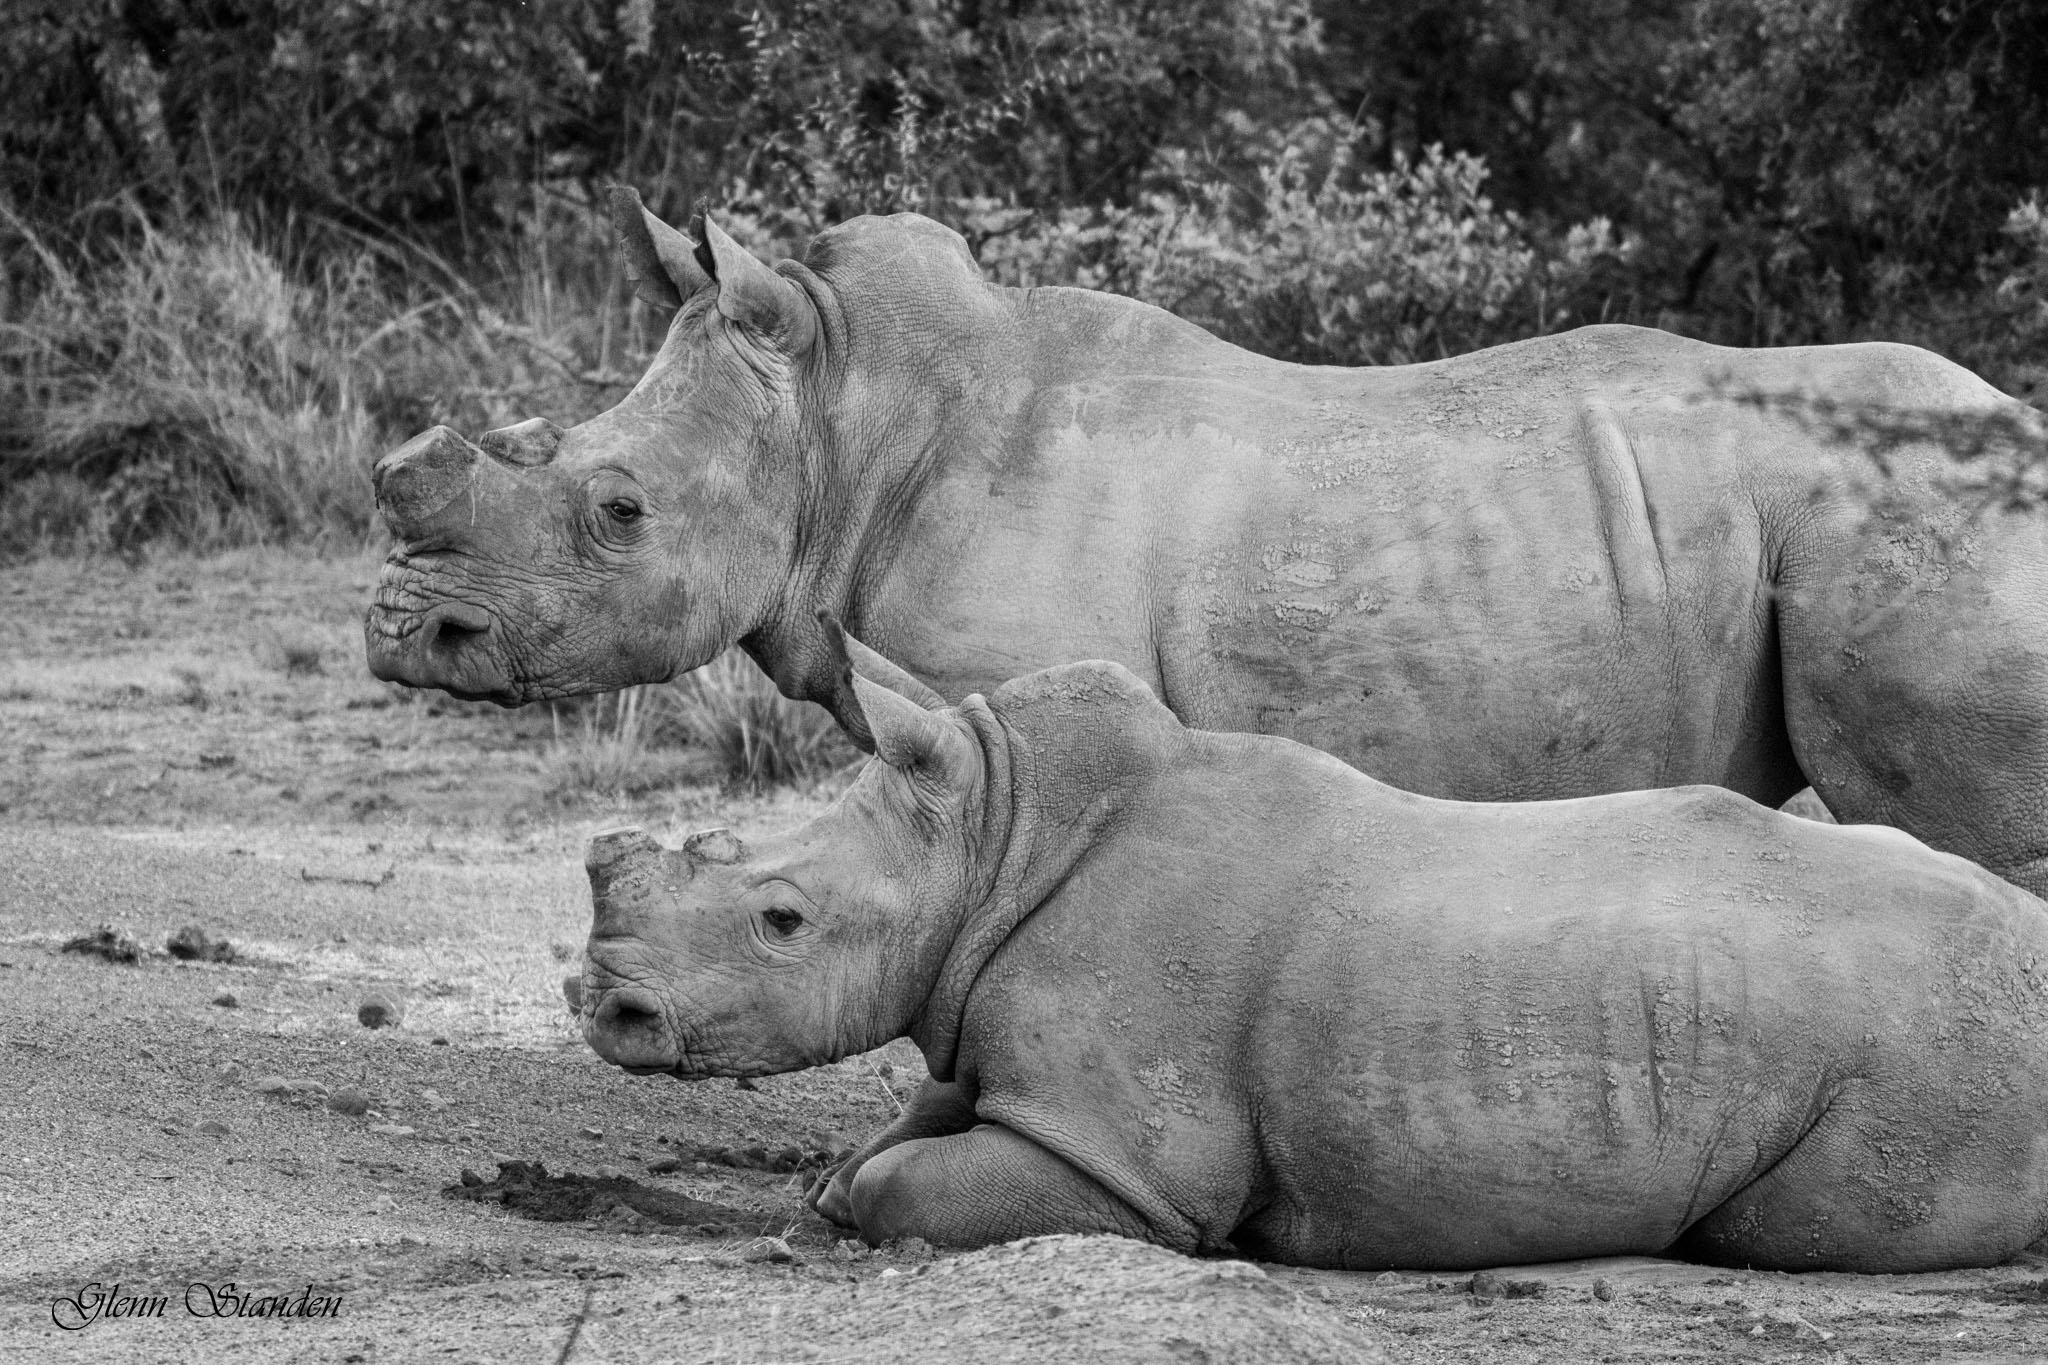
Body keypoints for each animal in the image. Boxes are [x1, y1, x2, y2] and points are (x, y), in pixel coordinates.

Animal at [573, 619, 2048, 1273]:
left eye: (781, 920)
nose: (606, 1009)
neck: (989, 845)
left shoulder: (1120, 1164)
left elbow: (900, 1186)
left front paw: (844, 1207)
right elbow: (881, 1143)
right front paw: (821, 1186)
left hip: (1934, 1045)